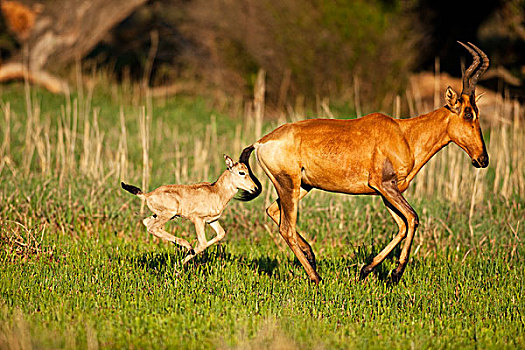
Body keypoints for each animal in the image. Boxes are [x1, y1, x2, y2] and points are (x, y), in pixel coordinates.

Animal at [119, 154, 258, 264]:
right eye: (241, 172)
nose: (255, 188)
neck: (216, 191)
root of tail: (147, 195)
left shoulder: (212, 221)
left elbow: (220, 234)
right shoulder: (198, 220)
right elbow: (202, 243)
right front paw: (181, 262)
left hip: (162, 215)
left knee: (147, 222)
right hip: (169, 214)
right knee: (153, 227)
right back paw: (186, 246)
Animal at [237, 41, 492, 284]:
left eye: (476, 111)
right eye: (468, 113)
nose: (482, 159)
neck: (403, 133)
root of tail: (261, 142)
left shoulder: (387, 192)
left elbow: (402, 226)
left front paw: (366, 270)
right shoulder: (386, 186)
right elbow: (413, 218)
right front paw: (395, 275)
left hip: (302, 186)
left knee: (273, 211)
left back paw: (311, 255)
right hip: (289, 184)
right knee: (286, 228)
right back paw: (316, 277)